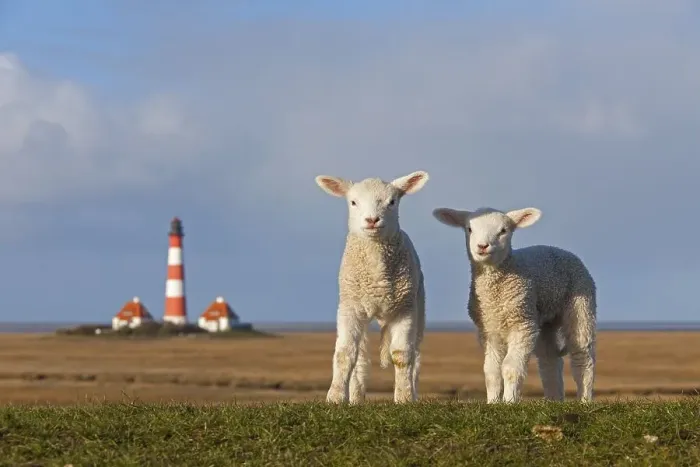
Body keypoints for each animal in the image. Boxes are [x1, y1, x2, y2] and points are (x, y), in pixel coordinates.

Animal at [315, 171, 429, 404]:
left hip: (419, 304)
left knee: (416, 353)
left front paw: (404, 397)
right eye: (353, 202)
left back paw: (412, 393)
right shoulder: (349, 308)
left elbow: (401, 355)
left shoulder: (404, 310)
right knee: (360, 356)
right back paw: (357, 397)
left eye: (392, 201)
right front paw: (335, 397)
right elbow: (344, 354)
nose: (372, 220)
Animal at [432, 206, 596, 403]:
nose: (482, 246)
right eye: (469, 229)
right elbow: (491, 371)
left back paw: (584, 400)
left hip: (581, 304)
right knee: (549, 360)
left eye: (503, 231)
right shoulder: (489, 331)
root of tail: (560, 249)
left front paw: (509, 401)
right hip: (544, 319)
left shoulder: (522, 325)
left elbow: (510, 368)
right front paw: (493, 402)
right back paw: (553, 400)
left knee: (582, 356)